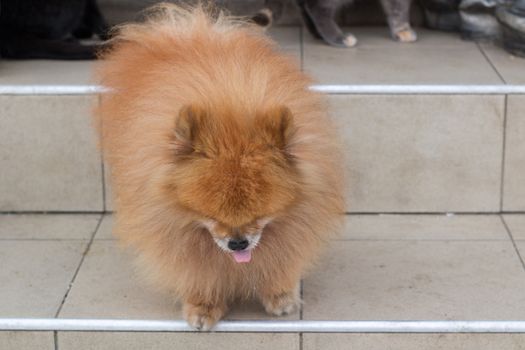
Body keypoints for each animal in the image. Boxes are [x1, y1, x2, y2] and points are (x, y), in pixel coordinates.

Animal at [95, 3, 344, 330]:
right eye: (210, 215)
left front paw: (280, 294)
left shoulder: (292, 224)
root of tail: (188, 29)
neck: (229, 109)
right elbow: (198, 272)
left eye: (260, 214)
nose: (238, 243)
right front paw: (203, 305)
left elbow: (281, 257)